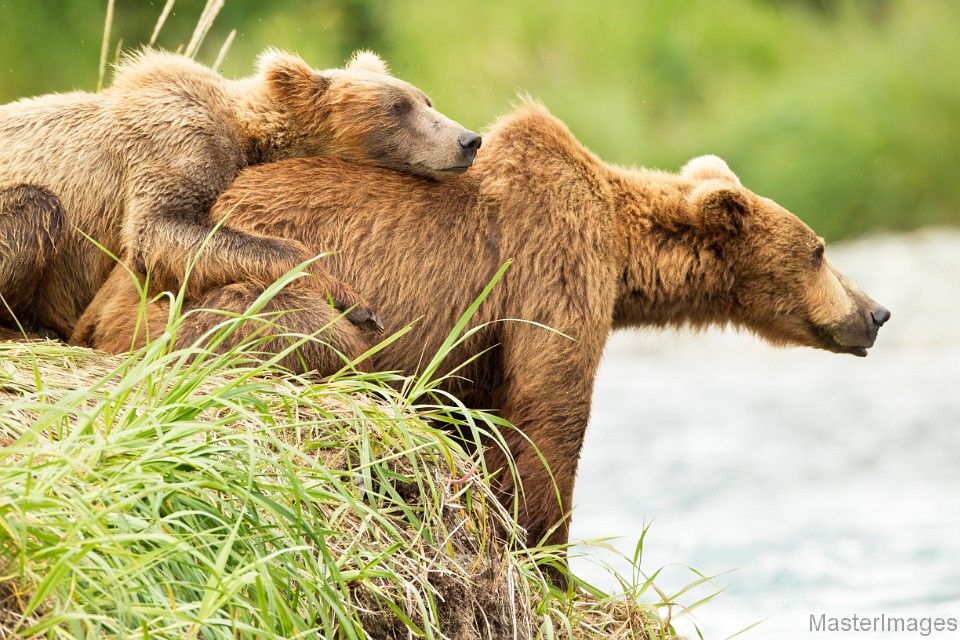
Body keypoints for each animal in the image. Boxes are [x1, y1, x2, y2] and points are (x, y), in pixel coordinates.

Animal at [0, 48, 480, 340]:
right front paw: (354, 301)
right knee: (39, 209)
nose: (469, 140)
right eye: (399, 108)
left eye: (426, 100)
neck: (250, 137)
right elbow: (160, 232)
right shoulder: (177, 141)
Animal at [71, 101, 888, 576]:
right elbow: (550, 412)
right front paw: (551, 561)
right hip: (230, 300)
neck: (622, 253)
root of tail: (105, 295)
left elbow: (484, 417)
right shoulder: (548, 260)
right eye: (819, 249)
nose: (877, 312)